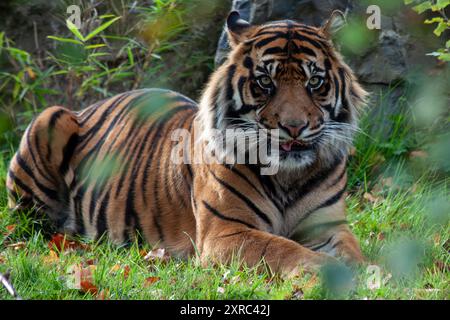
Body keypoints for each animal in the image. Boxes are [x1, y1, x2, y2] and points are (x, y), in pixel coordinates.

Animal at [6, 10, 366, 276]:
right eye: (265, 82)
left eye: (314, 82)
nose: (294, 127)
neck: (287, 177)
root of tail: (91, 105)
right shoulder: (225, 233)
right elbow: (284, 249)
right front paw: (327, 270)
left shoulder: (329, 227)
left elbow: (354, 250)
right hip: (49, 119)